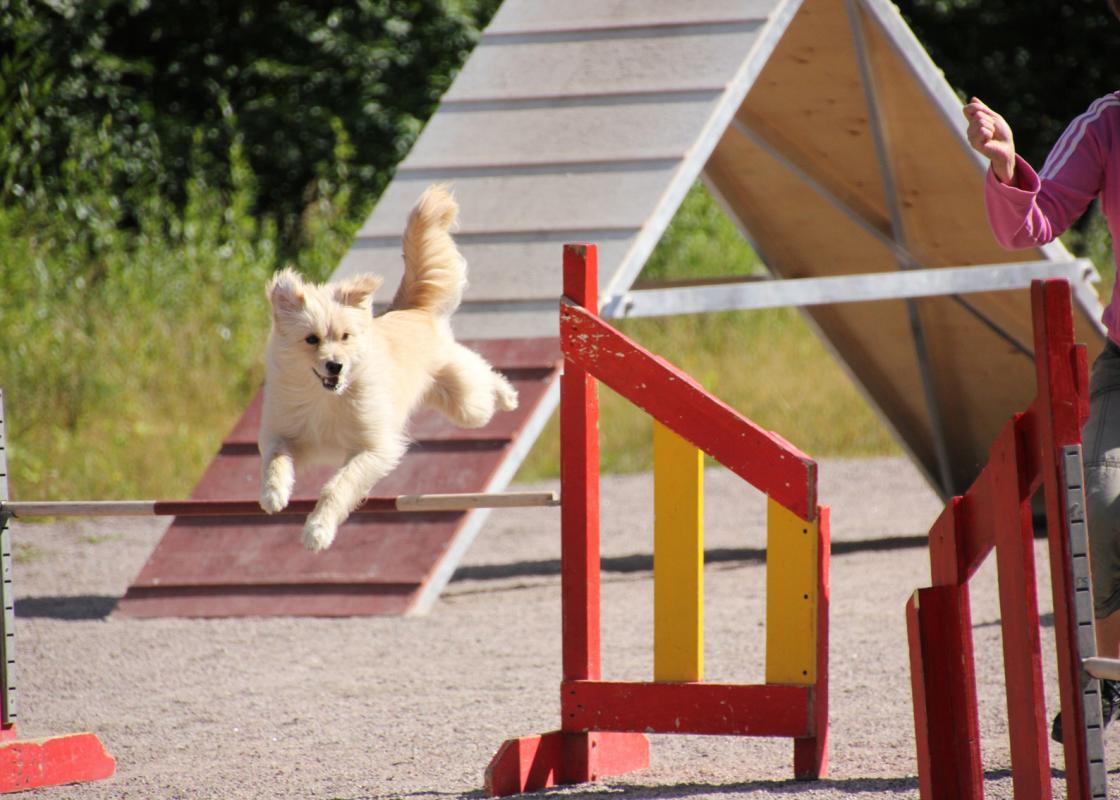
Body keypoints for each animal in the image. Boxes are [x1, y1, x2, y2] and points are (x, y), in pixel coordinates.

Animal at [258, 184, 519, 551]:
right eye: (311, 339)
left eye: (345, 336)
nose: (335, 366)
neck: (327, 399)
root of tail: (411, 309)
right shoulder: (285, 433)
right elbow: (276, 459)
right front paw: (273, 494)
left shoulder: (373, 448)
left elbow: (339, 486)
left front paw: (317, 532)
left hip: (466, 406)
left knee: (478, 375)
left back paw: (507, 394)